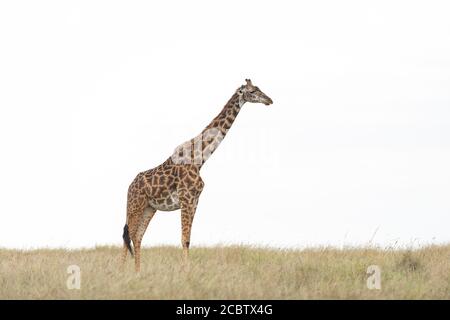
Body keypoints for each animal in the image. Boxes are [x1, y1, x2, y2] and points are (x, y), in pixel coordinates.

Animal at [121, 79, 272, 272]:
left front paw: (187, 270)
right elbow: (184, 239)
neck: (200, 159)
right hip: (135, 206)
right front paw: (186, 272)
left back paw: (137, 272)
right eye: (252, 91)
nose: (269, 100)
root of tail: (129, 187)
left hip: (149, 208)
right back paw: (121, 271)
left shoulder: (195, 201)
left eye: (259, 88)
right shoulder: (186, 199)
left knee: (137, 237)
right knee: (128, 235)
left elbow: (188, 240)